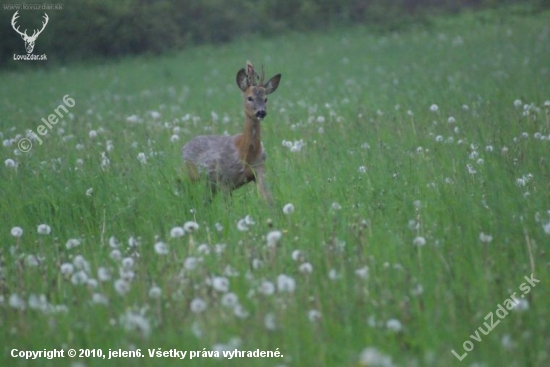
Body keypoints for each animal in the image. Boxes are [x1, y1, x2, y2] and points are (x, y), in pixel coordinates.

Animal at [183, 61, 282, 203]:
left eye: (266, 99)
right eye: (249, 98)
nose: (261, 112)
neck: (245, 153)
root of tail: (184, 147)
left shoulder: (259, 170)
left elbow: (268, 199)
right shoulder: (224, 178)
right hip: (193, 177)